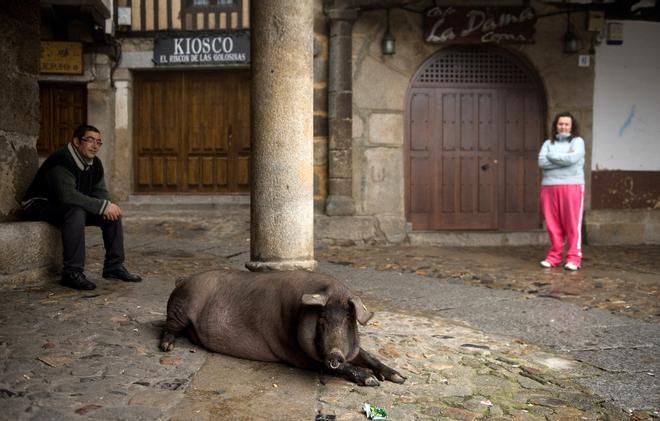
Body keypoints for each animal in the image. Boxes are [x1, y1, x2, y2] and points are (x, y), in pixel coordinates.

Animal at [160, 268, 408, 386]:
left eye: (348, 320)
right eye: (322, 321)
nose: (335, 355)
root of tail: (182, 280)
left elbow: (367, 356)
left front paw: (399, 378)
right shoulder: (297, 355)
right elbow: (334, 367)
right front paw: (371, 381)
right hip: (181, 308)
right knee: (168, 326)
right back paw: (166, 347)